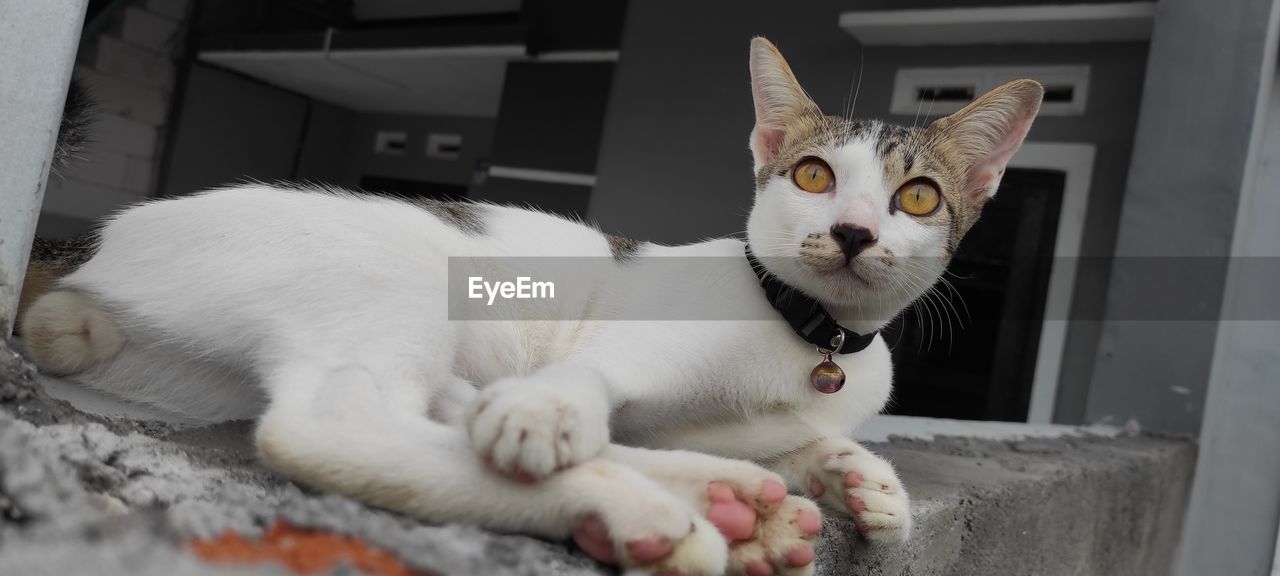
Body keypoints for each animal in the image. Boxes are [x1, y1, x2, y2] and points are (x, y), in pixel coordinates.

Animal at [17, 38, 1039, 573]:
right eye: (815, 176)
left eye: (917, 198)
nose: (857, 233)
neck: (806, 334)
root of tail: (86, 250)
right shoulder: (624, 348)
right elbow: (585, 379)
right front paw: (553, 414)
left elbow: (788, 439)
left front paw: (858, 478)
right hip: (402, 282)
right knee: (335, 427)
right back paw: (640, 511)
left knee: (446, 414)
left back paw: (731, 502)